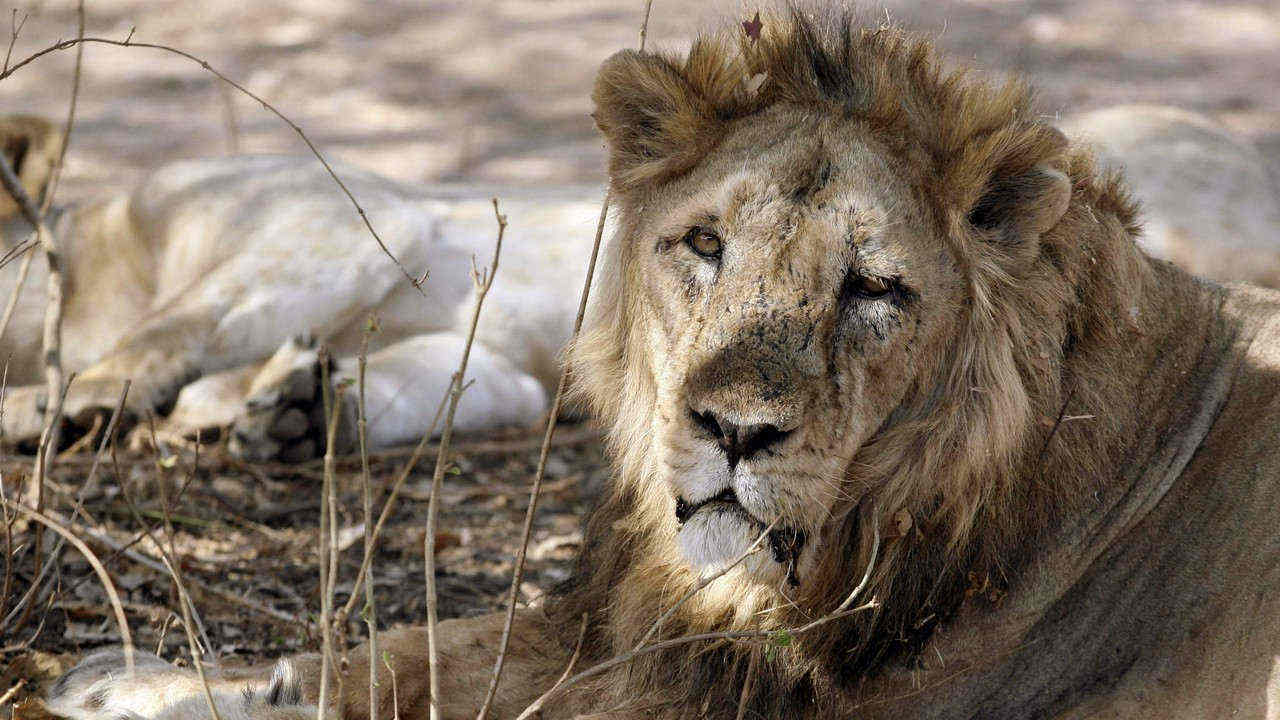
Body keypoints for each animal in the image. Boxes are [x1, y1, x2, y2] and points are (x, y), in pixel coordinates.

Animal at [0, 126, 601, 461]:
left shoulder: (342, 219)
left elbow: (174, 323)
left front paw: (76, 399)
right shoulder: (496, 362)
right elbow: (416, 380)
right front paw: (301, 409)